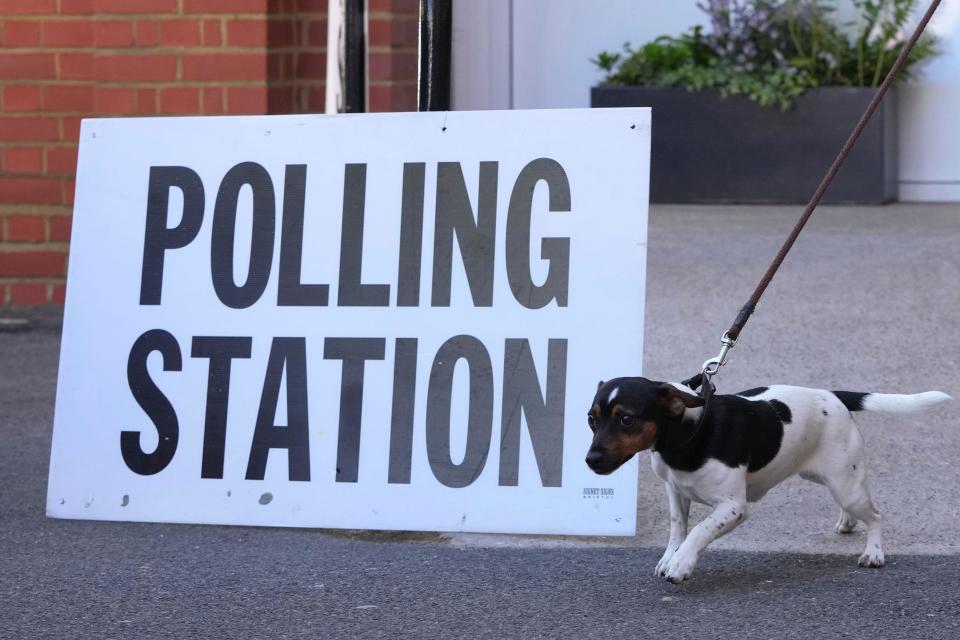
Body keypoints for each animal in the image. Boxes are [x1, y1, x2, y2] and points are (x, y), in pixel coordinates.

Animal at [580, 380, 948, 584]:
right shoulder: (676, 491)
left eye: (627, 419)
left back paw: (873, 552)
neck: (690, 430)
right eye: (591, 419)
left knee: (875, 516)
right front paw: (671, 557)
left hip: (847, 486)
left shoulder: (733, 508)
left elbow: (698, 530)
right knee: (853, 507)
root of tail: (832, 395)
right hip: (831, 477)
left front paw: (681, 564)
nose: (590, 460)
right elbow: (678, 528)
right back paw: (846, 523)